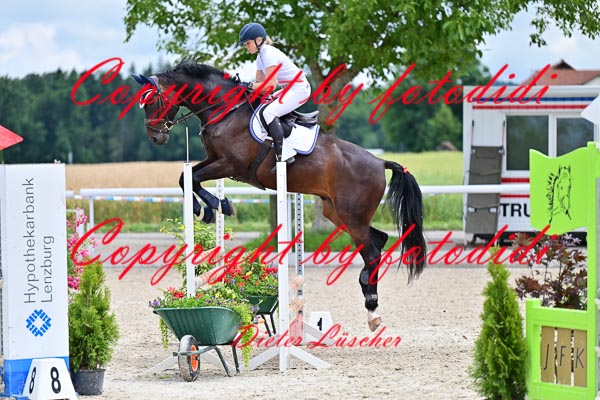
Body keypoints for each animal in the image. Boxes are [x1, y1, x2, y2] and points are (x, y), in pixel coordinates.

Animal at [133, 61, 427, 331]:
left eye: (152, 101)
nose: (155, 137)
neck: (225, 111)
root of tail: (379, 162)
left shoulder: (229, 164)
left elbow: (192, 179)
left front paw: (210, 207)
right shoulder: (214, 161)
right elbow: (186, 177)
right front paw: (214, 206)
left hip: (352, 216)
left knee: (372, 252)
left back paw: (372, 309)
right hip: (336, 212)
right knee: (378, 240)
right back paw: (368, 289)